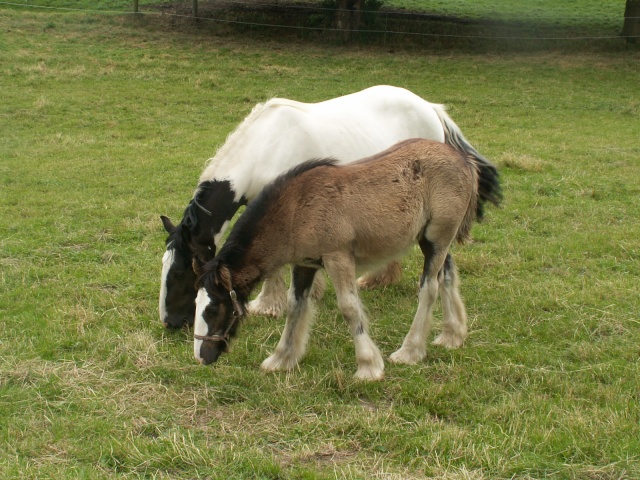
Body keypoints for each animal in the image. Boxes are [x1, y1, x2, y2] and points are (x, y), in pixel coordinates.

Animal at [158, 84, 498, 328]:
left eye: (179, 273)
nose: (170, 322)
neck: (266, 148)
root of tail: (430, 108)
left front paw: (268, 306)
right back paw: (380, 279)